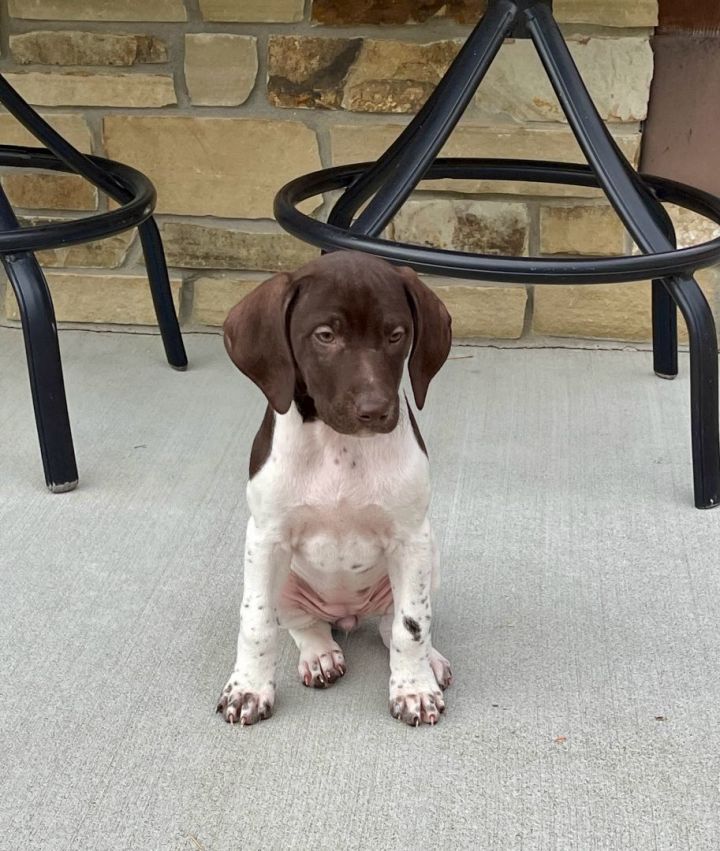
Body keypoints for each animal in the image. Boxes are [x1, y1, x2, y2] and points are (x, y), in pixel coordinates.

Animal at [217, 250, 452, 728]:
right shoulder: (265, 538)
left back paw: (430, 661)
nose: (375, 410)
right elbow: (256, 624)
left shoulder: (410, 539)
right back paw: (320, 655)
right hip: (285, 582)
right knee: (304, 625)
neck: (339, 446)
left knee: (391, 623)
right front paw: (248, 688)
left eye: (396, 335)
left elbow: (412, 625)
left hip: (429, 555)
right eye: (325, 335)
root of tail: (347, 616)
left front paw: (414, 690)